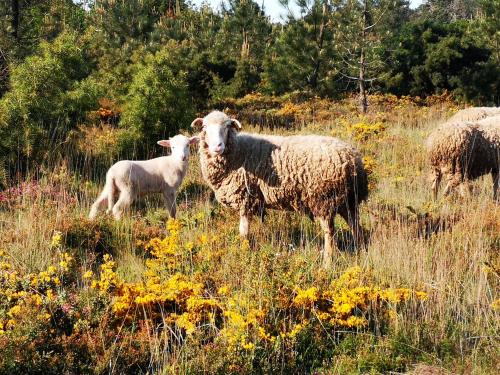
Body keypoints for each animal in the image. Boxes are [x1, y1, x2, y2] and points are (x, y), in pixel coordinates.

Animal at [191, 110, 368, 266]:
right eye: (204, 127)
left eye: (227, 126)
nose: (217, 146)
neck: (238, 152)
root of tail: (352, 158)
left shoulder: (245, 198)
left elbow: (243, 231)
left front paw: (243, 251)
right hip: (348, 200)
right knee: (356, 227)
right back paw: (362, 252)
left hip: (323, 199)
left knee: (329, 233)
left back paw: (327, 263)